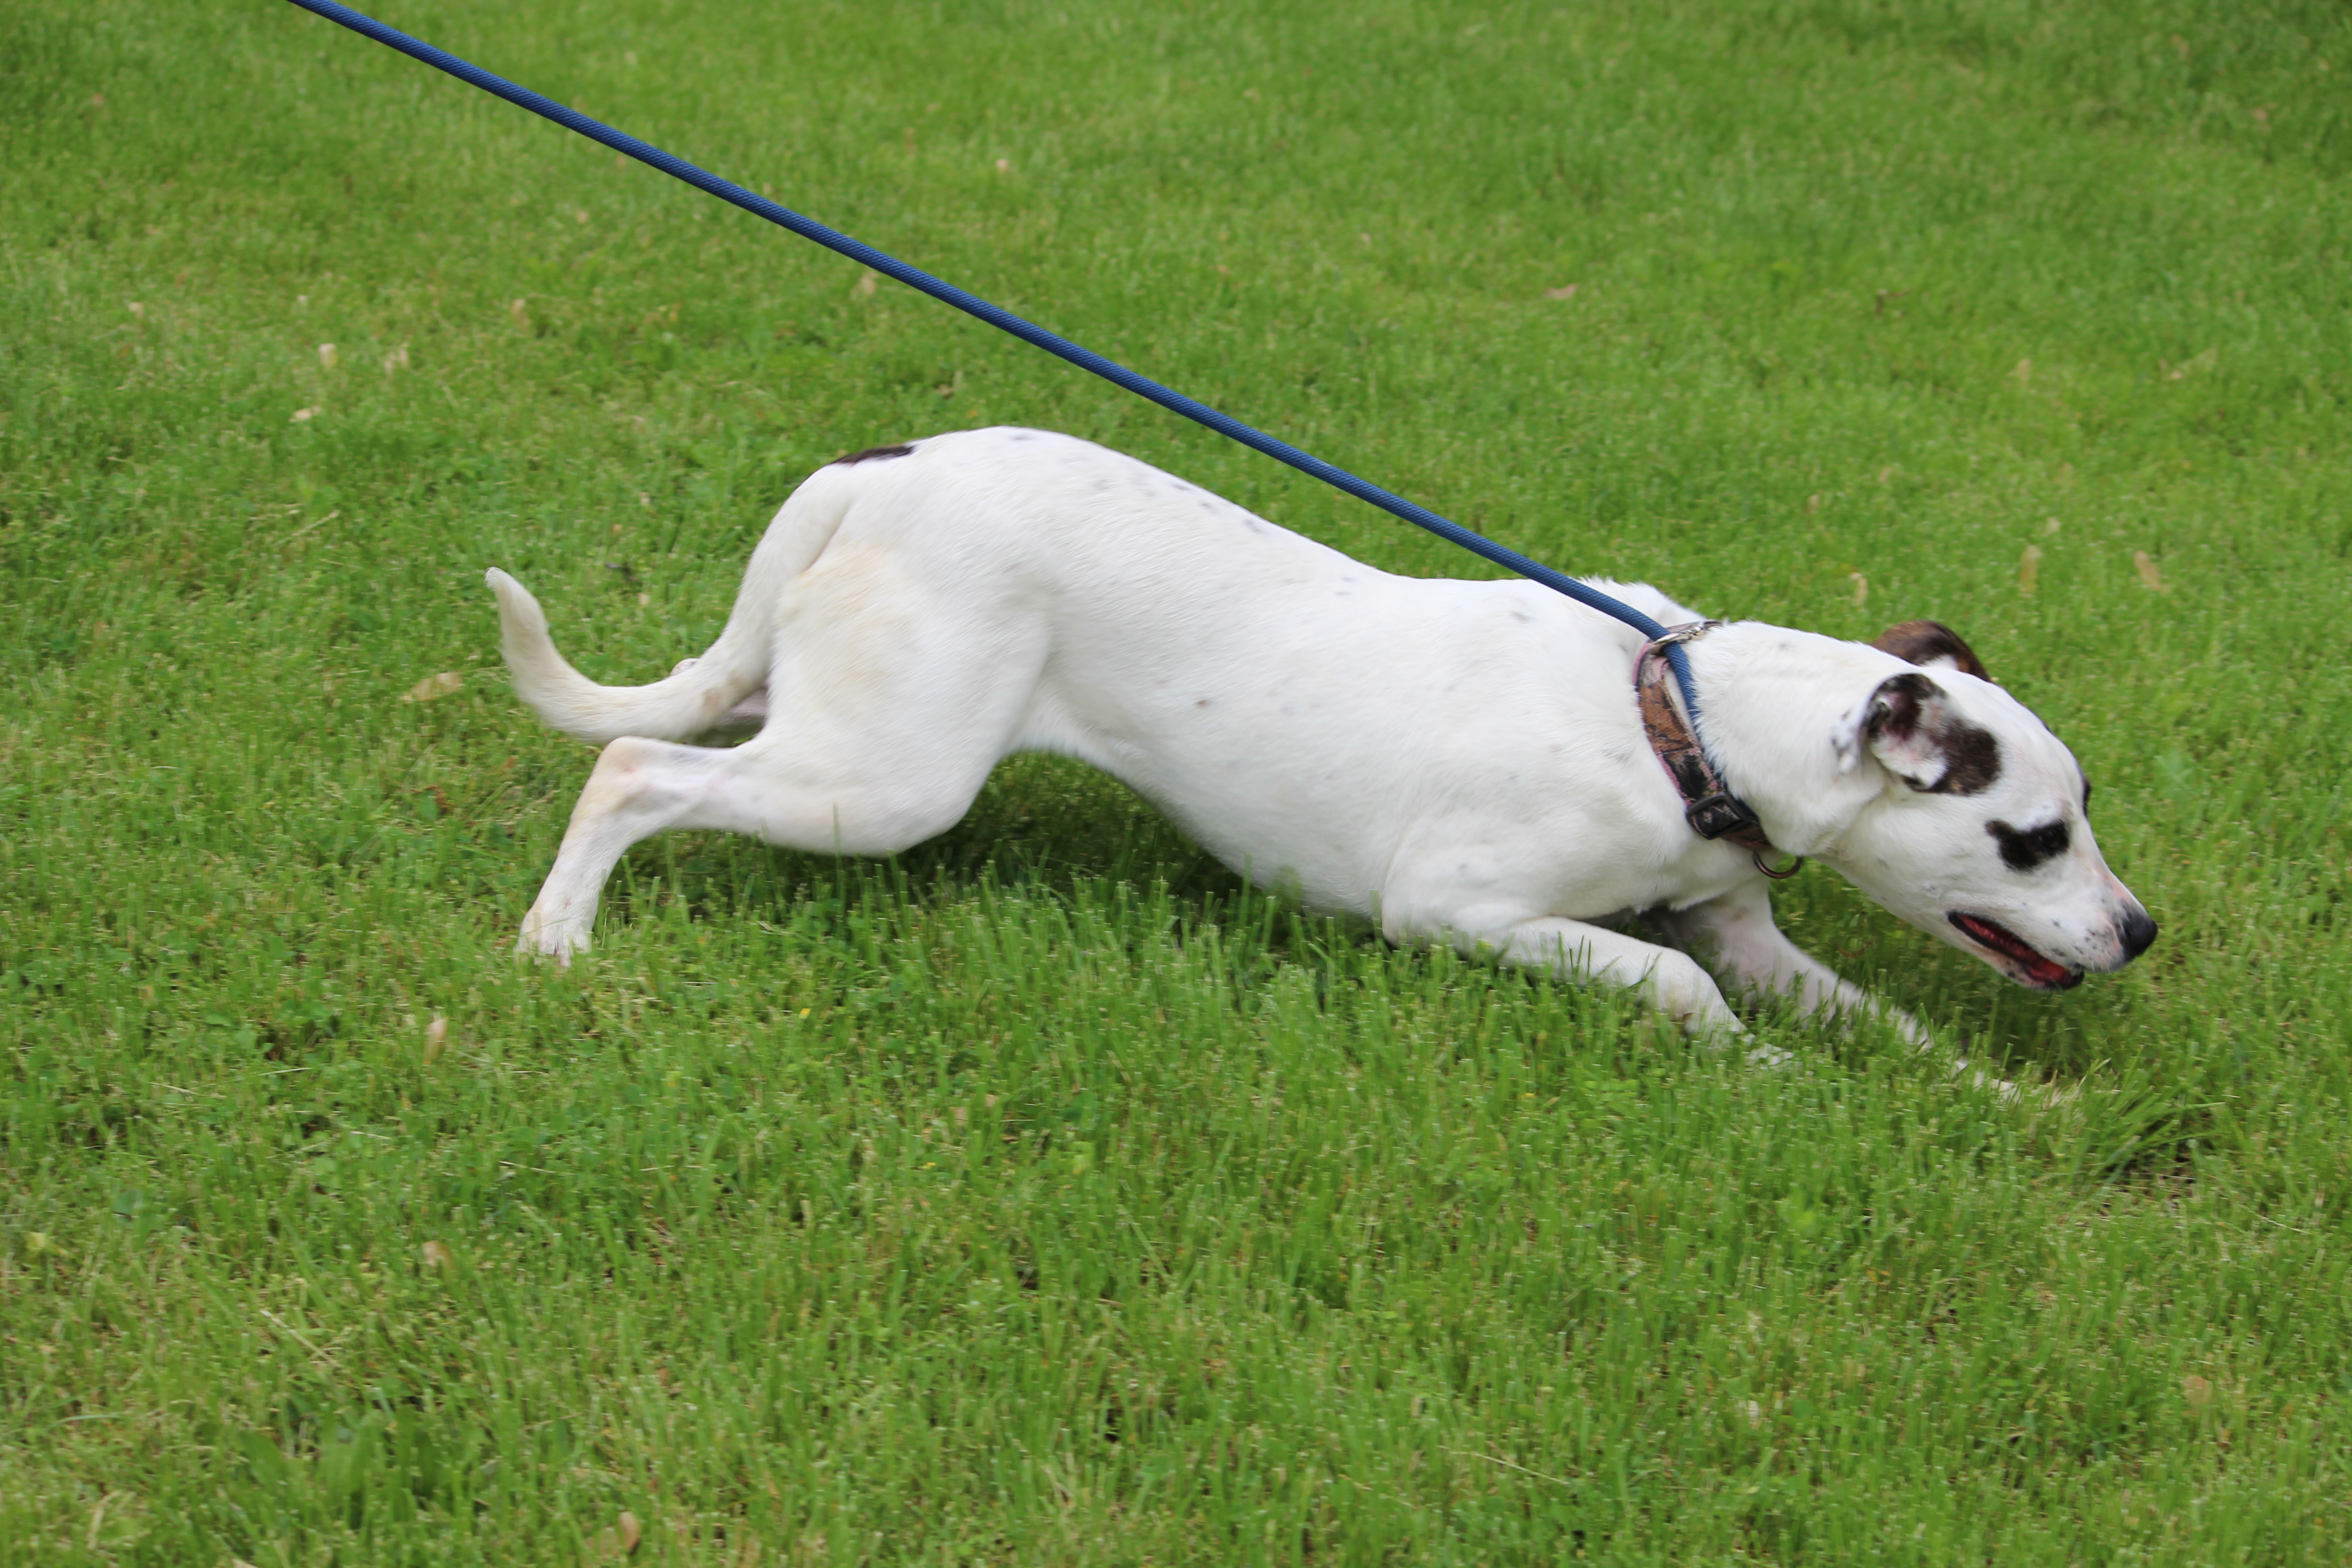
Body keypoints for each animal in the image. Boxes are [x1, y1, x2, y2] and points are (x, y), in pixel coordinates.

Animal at [487, 430, 2154, 1044]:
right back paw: (558, 936)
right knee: (633, 768)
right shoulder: (1460, 908)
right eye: (2033, 837)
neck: (1680, 719)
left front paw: (1999, 1103)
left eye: (2080, 813)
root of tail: (879, 466)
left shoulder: (1755, 929)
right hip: (885, 781)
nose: (2139, 931)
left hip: (805, 711)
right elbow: (1679, 984)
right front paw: (1755, 1076)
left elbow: (1890, 1025)